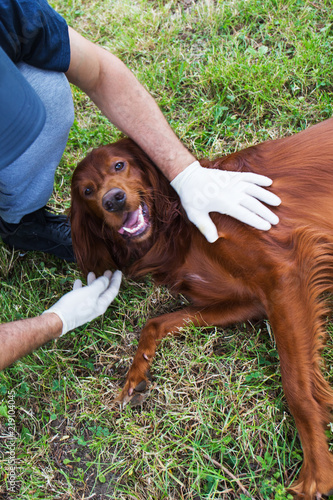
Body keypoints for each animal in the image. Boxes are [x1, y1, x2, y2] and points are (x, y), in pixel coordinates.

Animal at [70, 119, 332, 498]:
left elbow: (296, 386)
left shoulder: (285, 277)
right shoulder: (250, 301)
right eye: (87, 191)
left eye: (119, 165)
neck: (177, 227)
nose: (113, 199)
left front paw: (316, 468)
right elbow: (155, 322)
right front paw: (136, 374)